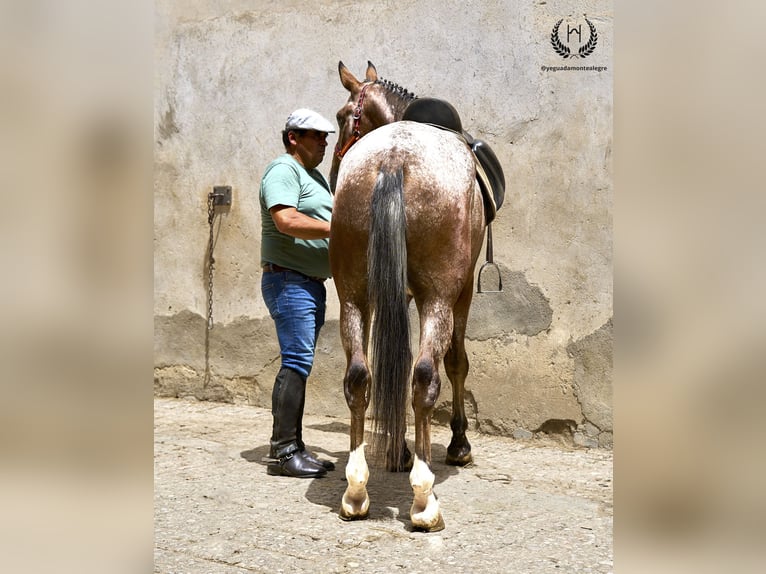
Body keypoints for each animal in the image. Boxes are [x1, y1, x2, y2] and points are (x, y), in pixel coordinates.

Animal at [328, 60, 486, 532]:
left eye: (342, 117)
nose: (330, 172)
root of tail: (395, 157)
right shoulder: (459, 290)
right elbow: (455, 363)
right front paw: (457, 445)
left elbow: (391, 364)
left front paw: (396, 451)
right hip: (439, 297)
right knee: (425, 376)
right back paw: (423, 499)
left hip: (353, 296)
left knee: (359, 376)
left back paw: (356, 491)